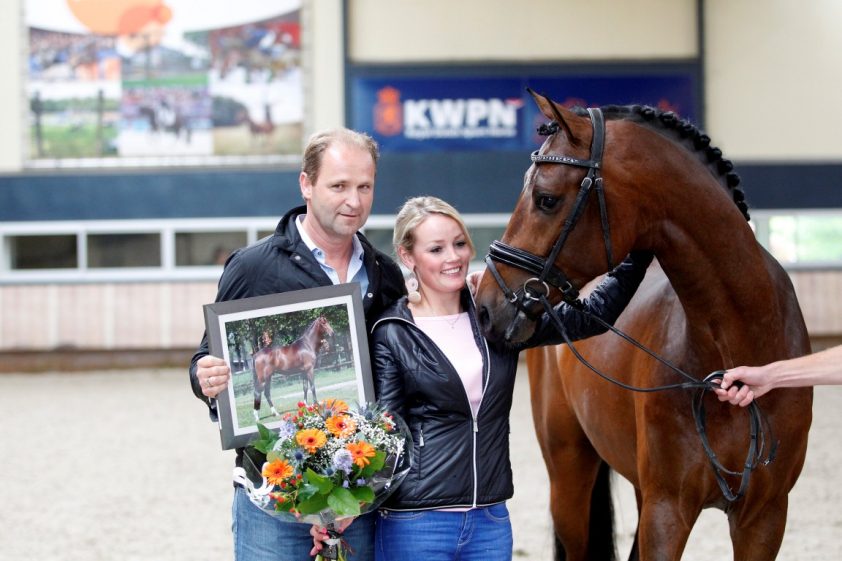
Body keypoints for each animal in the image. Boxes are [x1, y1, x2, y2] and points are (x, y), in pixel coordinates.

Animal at [476, 89, 812, 556]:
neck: (739, 348)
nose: (485, 306)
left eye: (546, 198)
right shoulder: (667, 510)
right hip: (568, 473)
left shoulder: (764, 517)